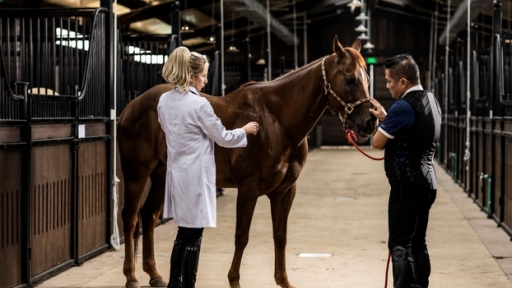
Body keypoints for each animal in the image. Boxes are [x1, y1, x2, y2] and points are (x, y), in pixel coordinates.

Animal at [118, 36, 378, 288]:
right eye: (350, 79)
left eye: (367, 78)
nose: (370, 122)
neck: (278, 120)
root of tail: (130, 107)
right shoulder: (248, 187)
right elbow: (242, 236)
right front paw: (234, 280)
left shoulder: (285, 191)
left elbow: (280, 235)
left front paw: (283, 280)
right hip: (136, 173)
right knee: (130, 218)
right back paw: (131, 277)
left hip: (161, 173)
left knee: (149, 216)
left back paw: (154, 275)